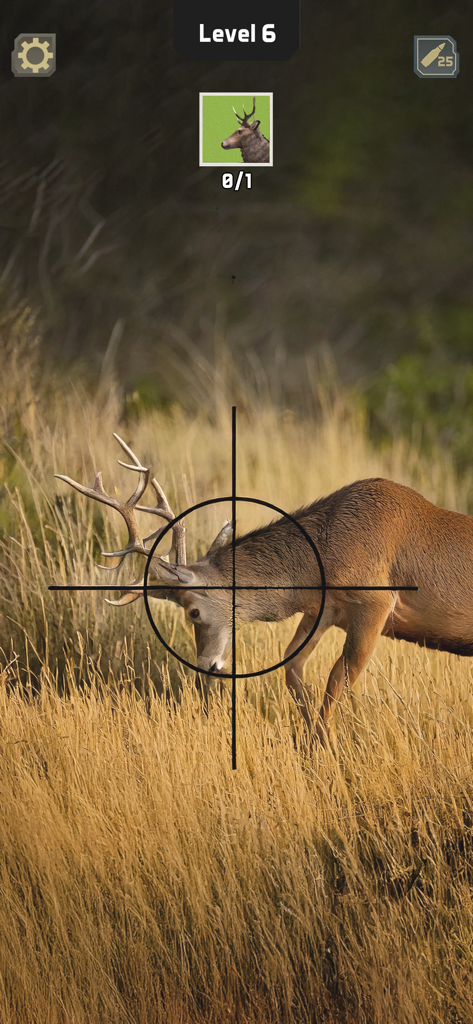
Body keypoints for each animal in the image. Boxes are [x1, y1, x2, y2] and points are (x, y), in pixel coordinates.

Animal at [55, 434, 473, 749]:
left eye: (193, 611)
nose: (206, 668)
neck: (323, 557)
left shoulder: (376, 602)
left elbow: (338, 679)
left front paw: (327, 750)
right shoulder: (324, 610)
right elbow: (292, 667)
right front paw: (312, 740)